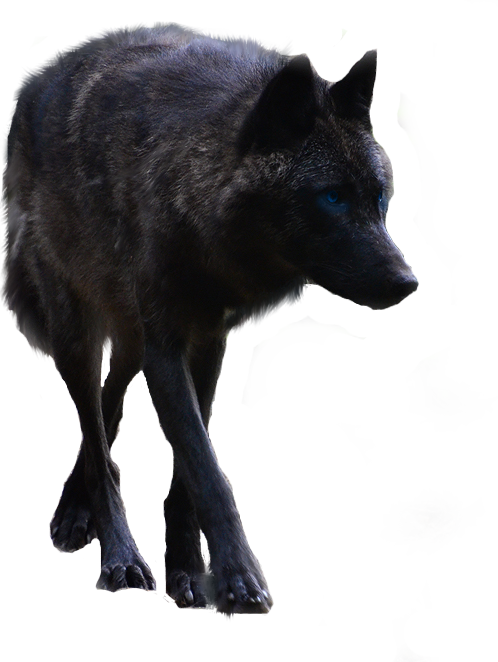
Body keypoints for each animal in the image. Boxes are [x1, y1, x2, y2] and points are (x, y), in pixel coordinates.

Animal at [0, 23, 418, 619]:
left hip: (132, 338)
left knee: (109, 405)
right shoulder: (168, 348)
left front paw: (189, 574)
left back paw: (76, 512)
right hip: (75, 333)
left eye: (379, 197)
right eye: (332, 198)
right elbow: (207, 471)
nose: (409, 284)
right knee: (97, 434)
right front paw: (240, 579)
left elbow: (190, 472)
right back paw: (118, 555)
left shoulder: (206, 340)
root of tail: (47, 71)